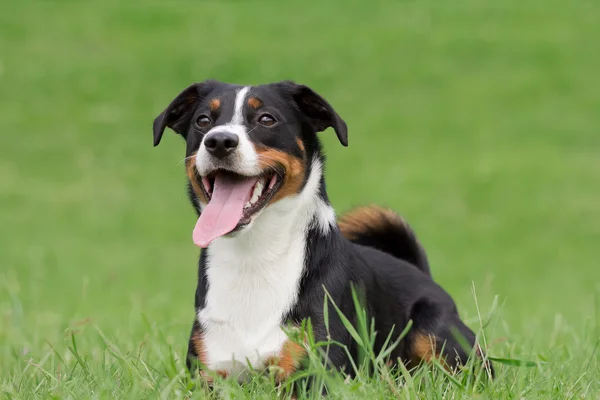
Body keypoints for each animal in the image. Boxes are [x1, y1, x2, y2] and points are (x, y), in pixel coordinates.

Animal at [151, 80, 492, 384]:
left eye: (266, 119)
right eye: (203, 120)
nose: (219, 141)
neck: (253, 258)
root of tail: (422, 274)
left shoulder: (318, 372)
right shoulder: (208, 374)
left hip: (435, 333)